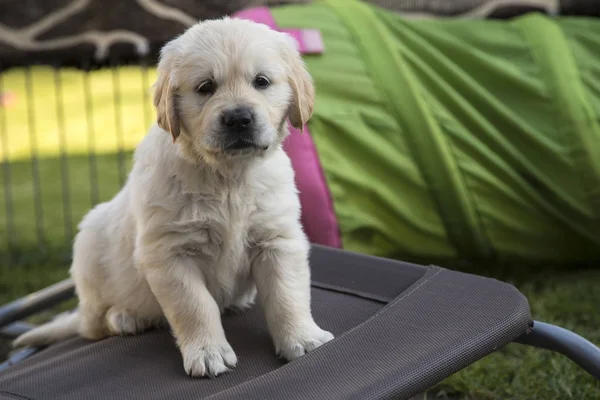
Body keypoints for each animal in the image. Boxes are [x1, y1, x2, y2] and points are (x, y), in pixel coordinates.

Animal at [14, 16, 332, 378]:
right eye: (205, 87)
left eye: (262, 81)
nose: (238, 118)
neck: (228, 177)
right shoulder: (169, 254)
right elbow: (194, 306)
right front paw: (208, 353)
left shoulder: (277, 240)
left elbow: (286, 295)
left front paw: (303, 339)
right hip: (88, 248)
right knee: (92, 326)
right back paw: (125, 317)